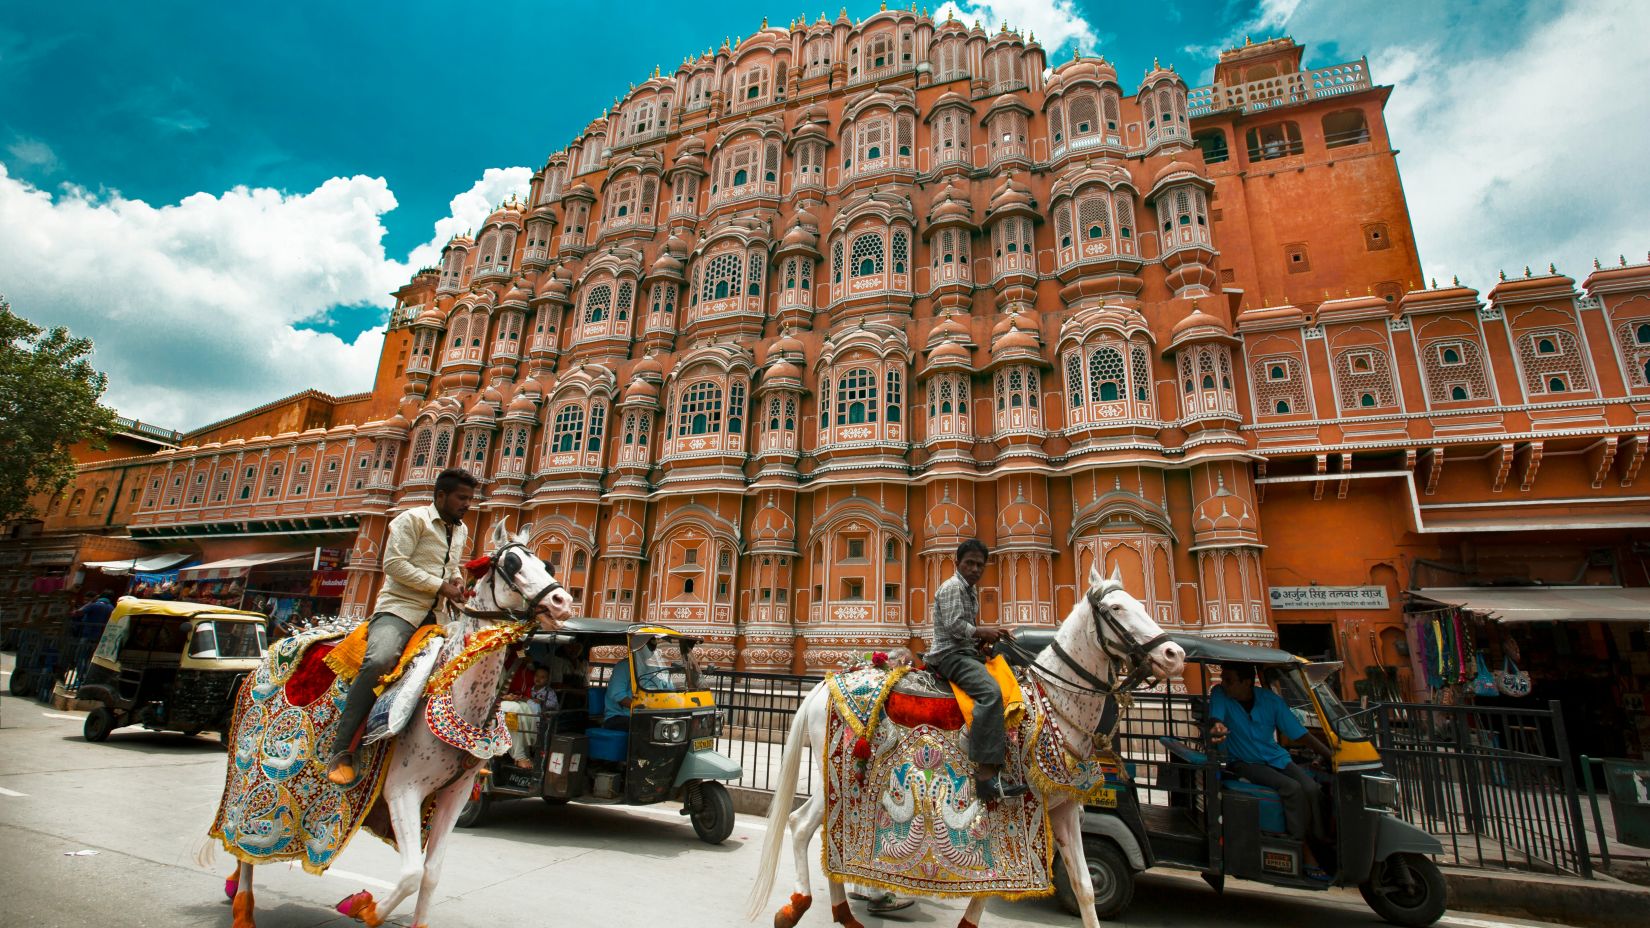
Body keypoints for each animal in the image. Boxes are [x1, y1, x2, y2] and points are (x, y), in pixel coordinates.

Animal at [195, 525, 574, 924]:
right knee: (240, 831)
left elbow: (432, 873)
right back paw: (243, 906)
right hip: (251, 767)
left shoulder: (456, 791)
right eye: (513, 564)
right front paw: (364, 907)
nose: (562, 601)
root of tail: (271, 651)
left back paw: (234, 888)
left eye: (547, 564)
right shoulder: (401, 788)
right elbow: (411, 874)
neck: (461, 699)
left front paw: (401, 916)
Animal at [749, 564, 1188, 924]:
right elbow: (997, 880)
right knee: (803, 827)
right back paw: (806, 905)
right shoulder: (1015, 806)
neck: (1053, 703)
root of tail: (824, 684)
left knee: (808, 826)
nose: (1174, 653)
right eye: (1116, 609)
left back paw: (842, 911)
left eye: (1139, 603)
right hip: (841, 777)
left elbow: (1083, 887)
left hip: (833, 778)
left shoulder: (1061, 806)